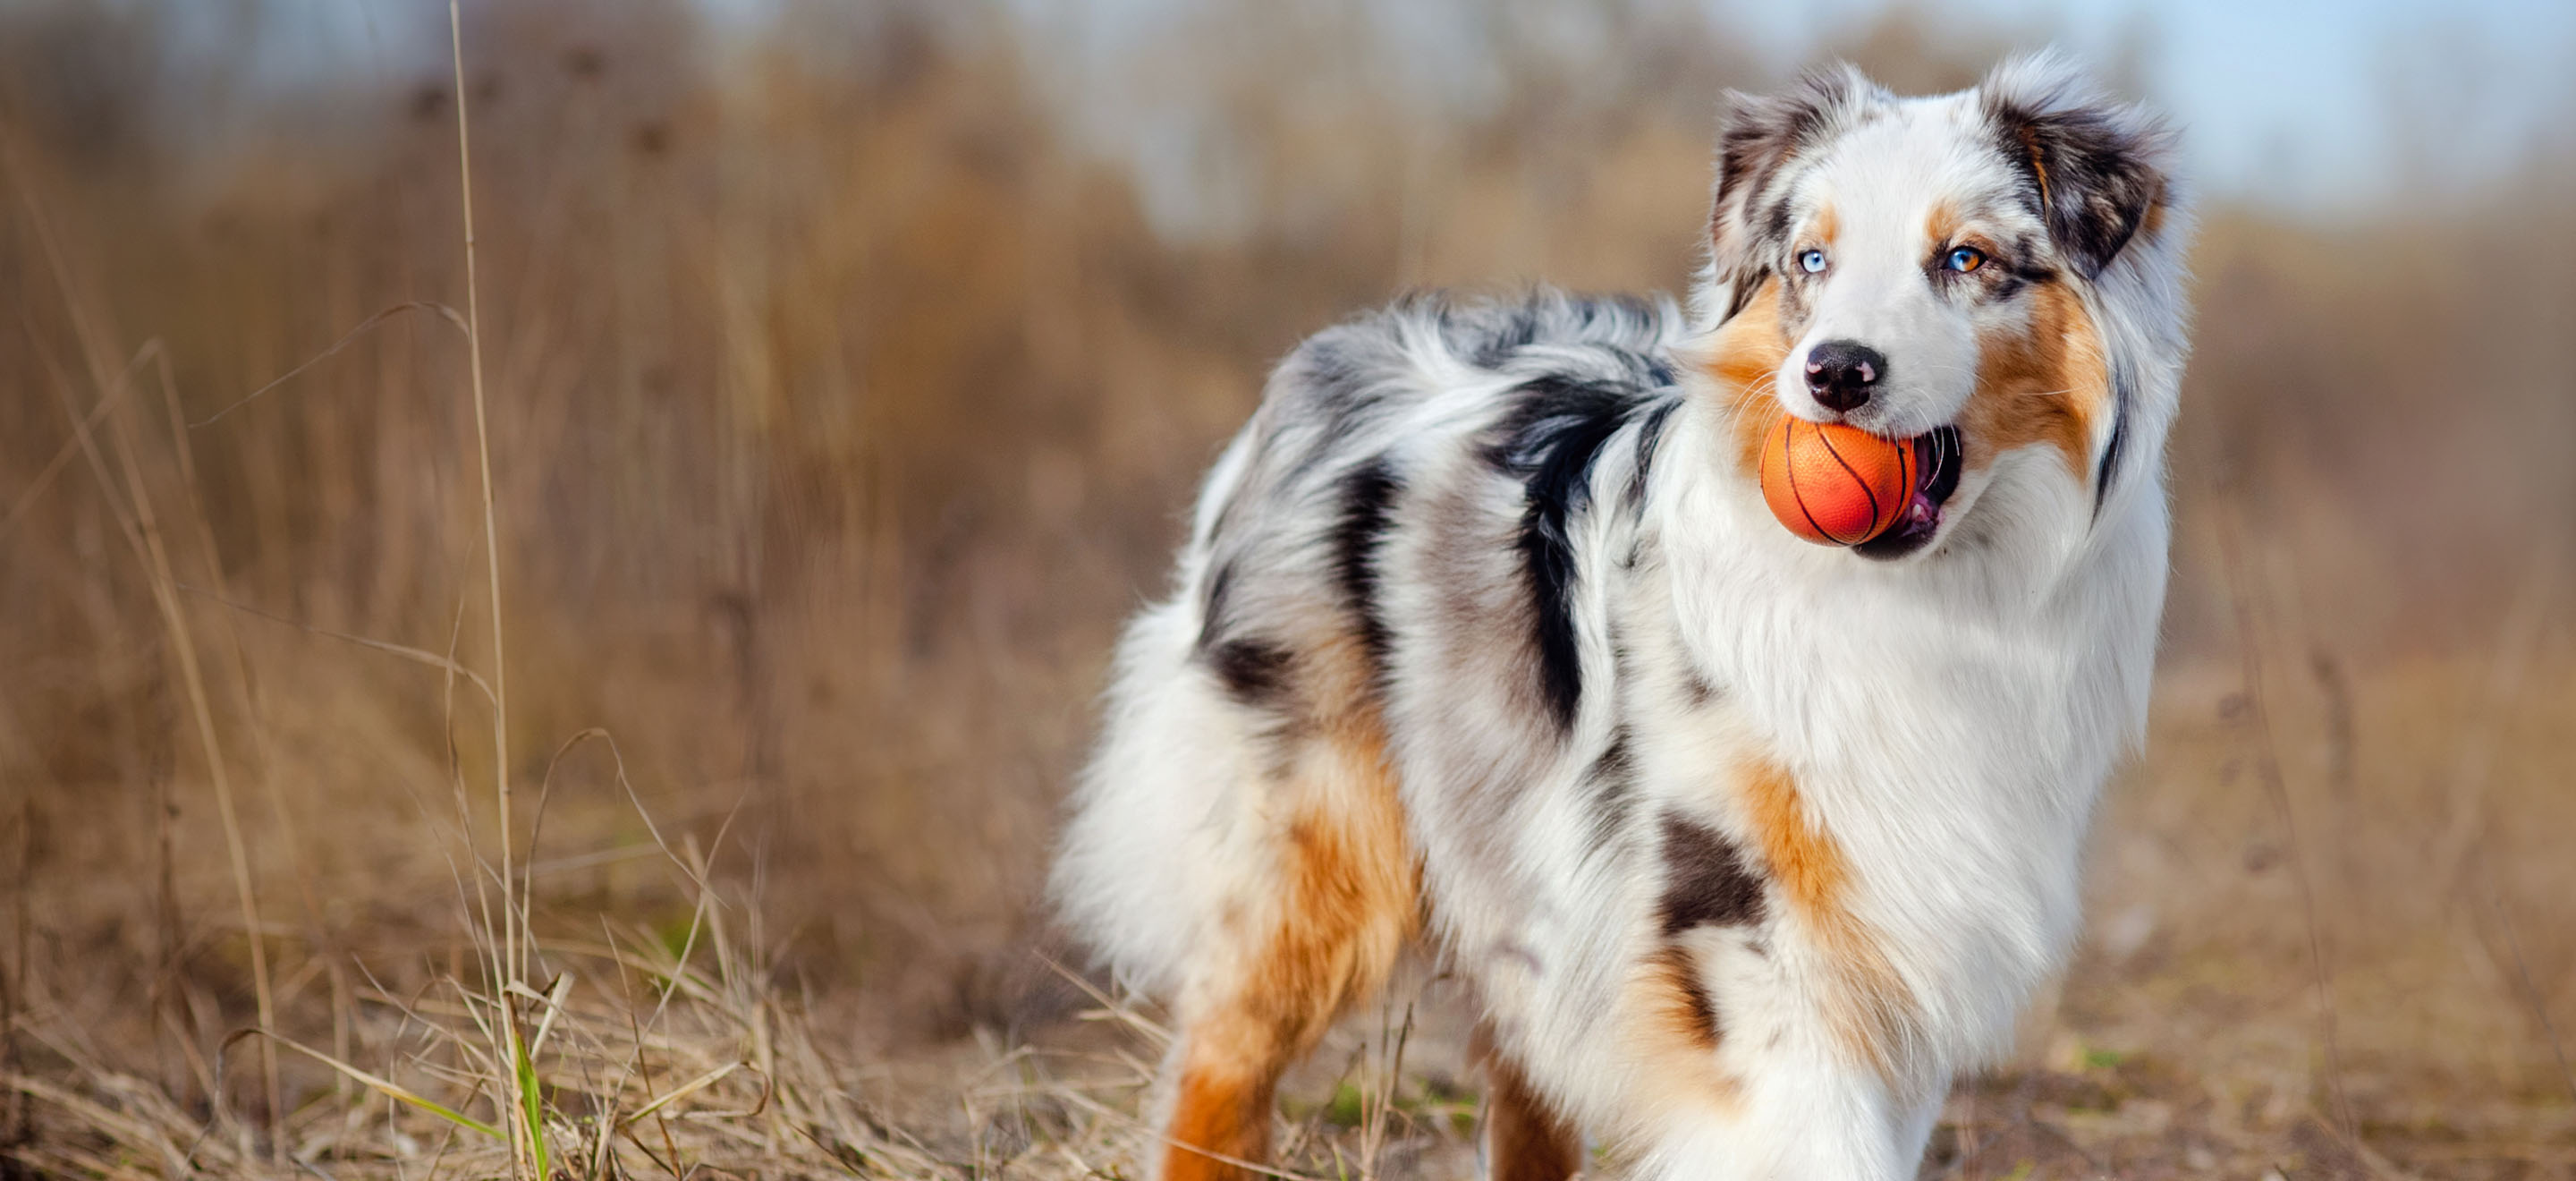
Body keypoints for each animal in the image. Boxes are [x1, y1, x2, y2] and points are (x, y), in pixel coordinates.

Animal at [1046, 55, 2194, 1181]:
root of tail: (1332, 355)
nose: (1834, 373)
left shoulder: (1903, 942)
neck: (1926, 600)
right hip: (1316, 850)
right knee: (1220, 1068)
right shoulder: (1742, 924)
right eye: (1811, 262)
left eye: (1965, 258)